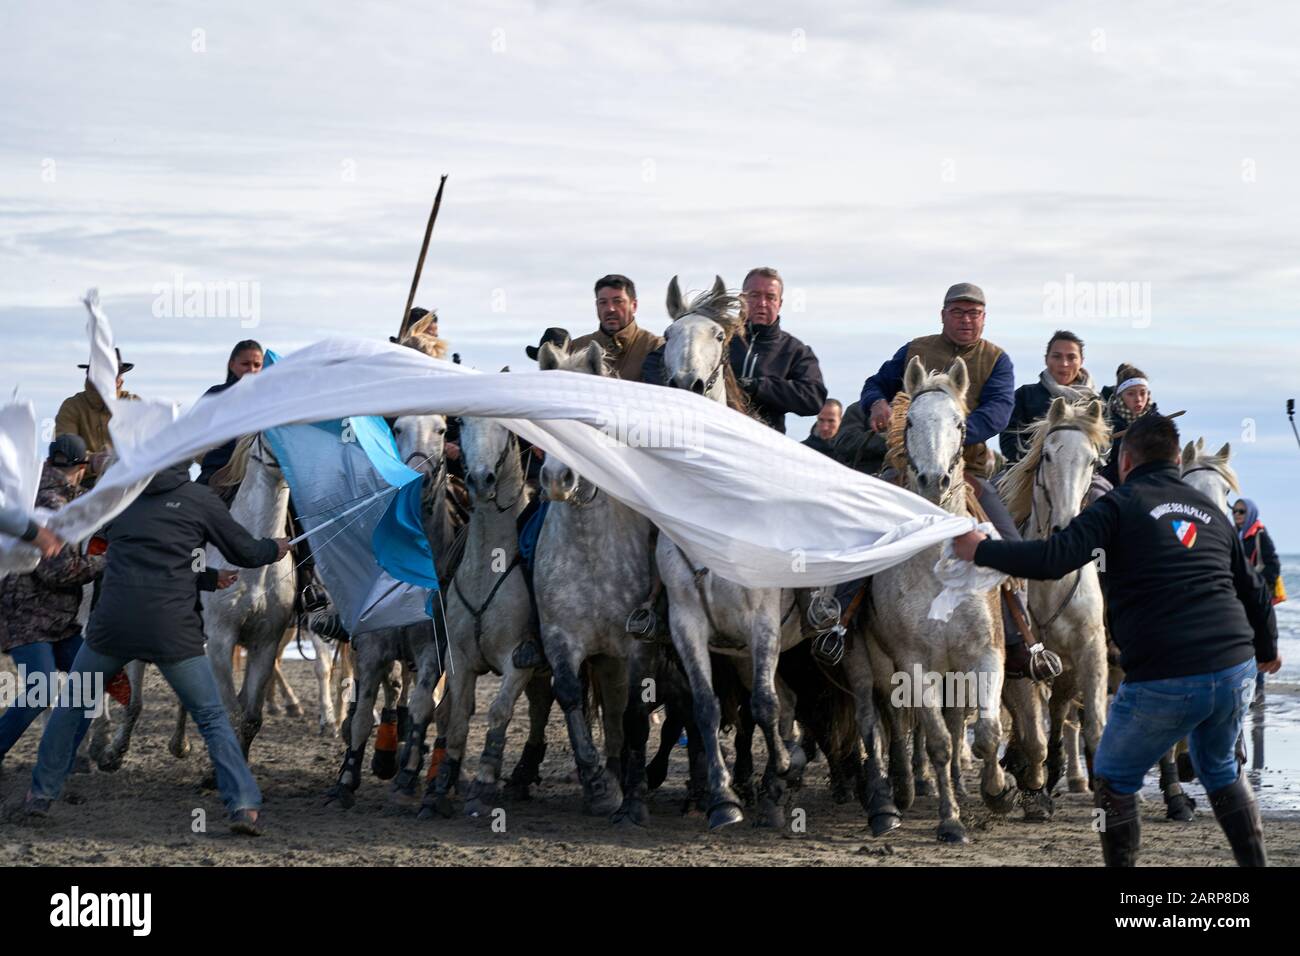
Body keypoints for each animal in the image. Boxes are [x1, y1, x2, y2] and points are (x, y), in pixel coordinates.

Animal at [868, 356, 1019, 842]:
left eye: (959, 423)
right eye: (911, 421)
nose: (935, 480)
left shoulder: (986, 653)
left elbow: (986, 732)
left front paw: (997, 791)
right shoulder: (914, 663)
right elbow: (934, 740)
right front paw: (950, 820)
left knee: (957, 726)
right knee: (904, 724)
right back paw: (908, 787)